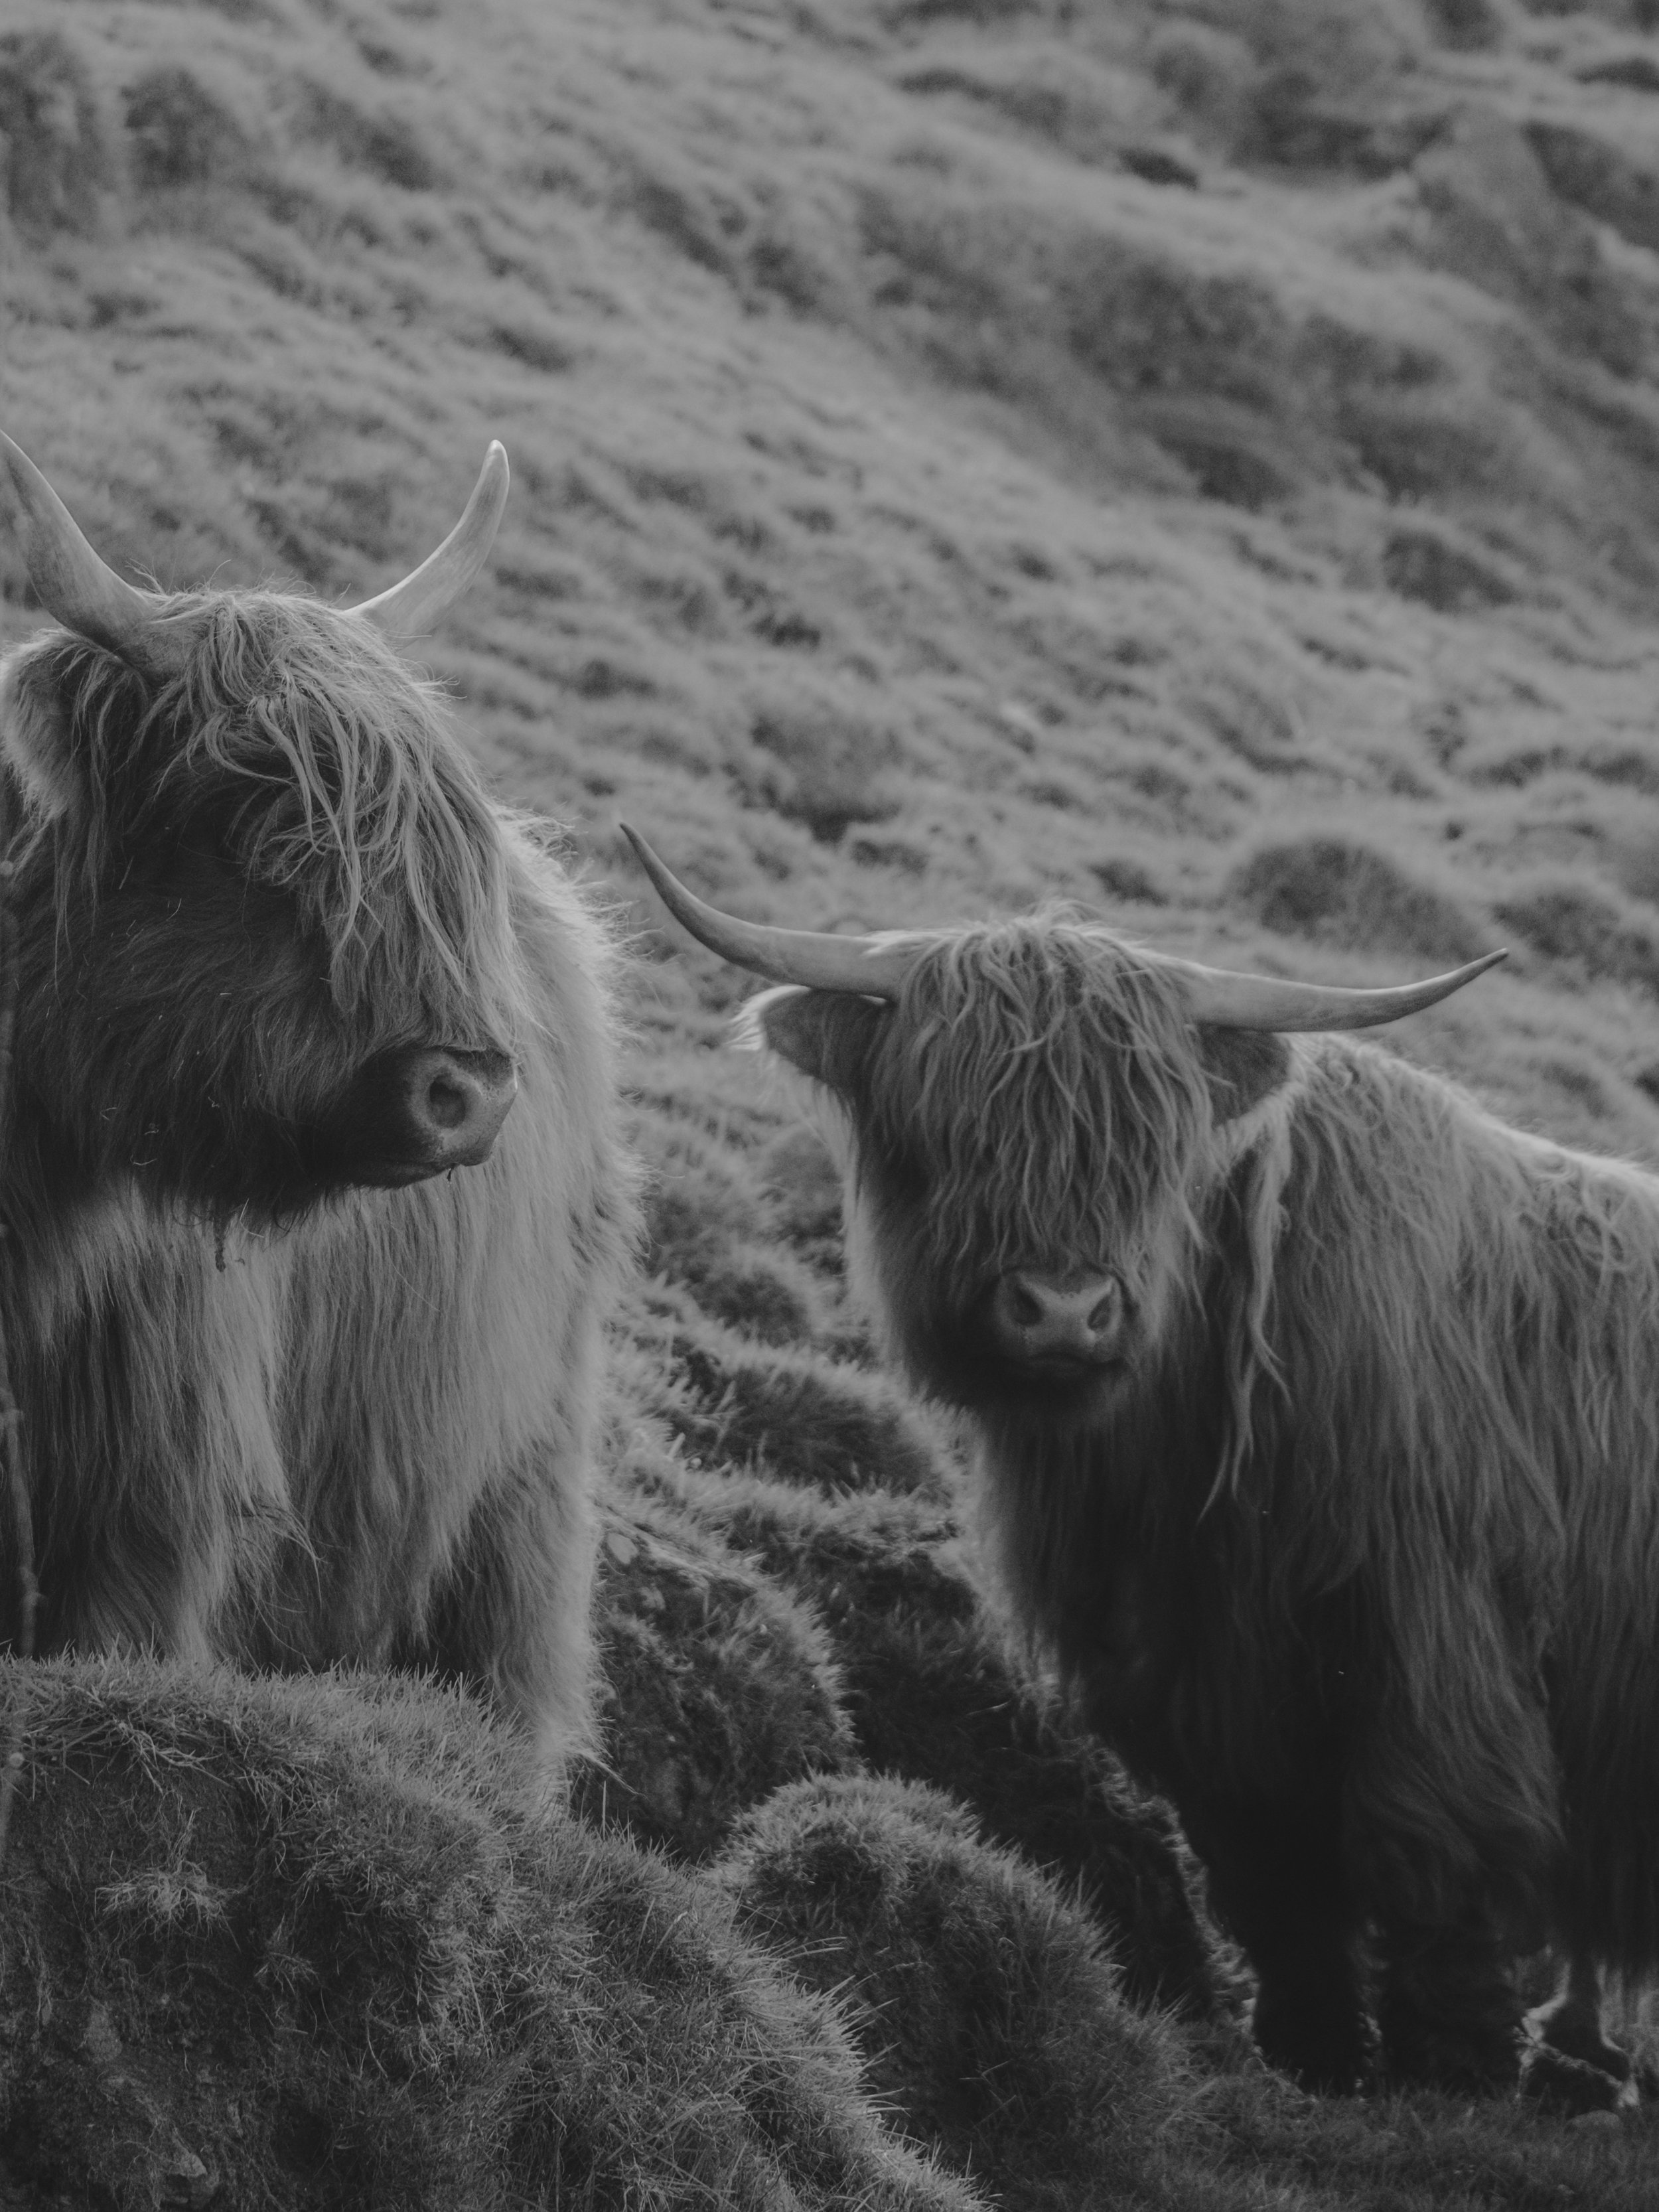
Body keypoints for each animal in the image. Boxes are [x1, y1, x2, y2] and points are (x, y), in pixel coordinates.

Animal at [623, 823, 1658, 2096]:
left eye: (1149, 1145)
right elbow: (1268, 1883)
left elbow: (1433, 1846)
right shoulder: (1195, 1682)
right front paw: (1311, 2054)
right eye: (949, 1121)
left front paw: (1448, 2070)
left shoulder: (1436, 1635)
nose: (1064, 1309)